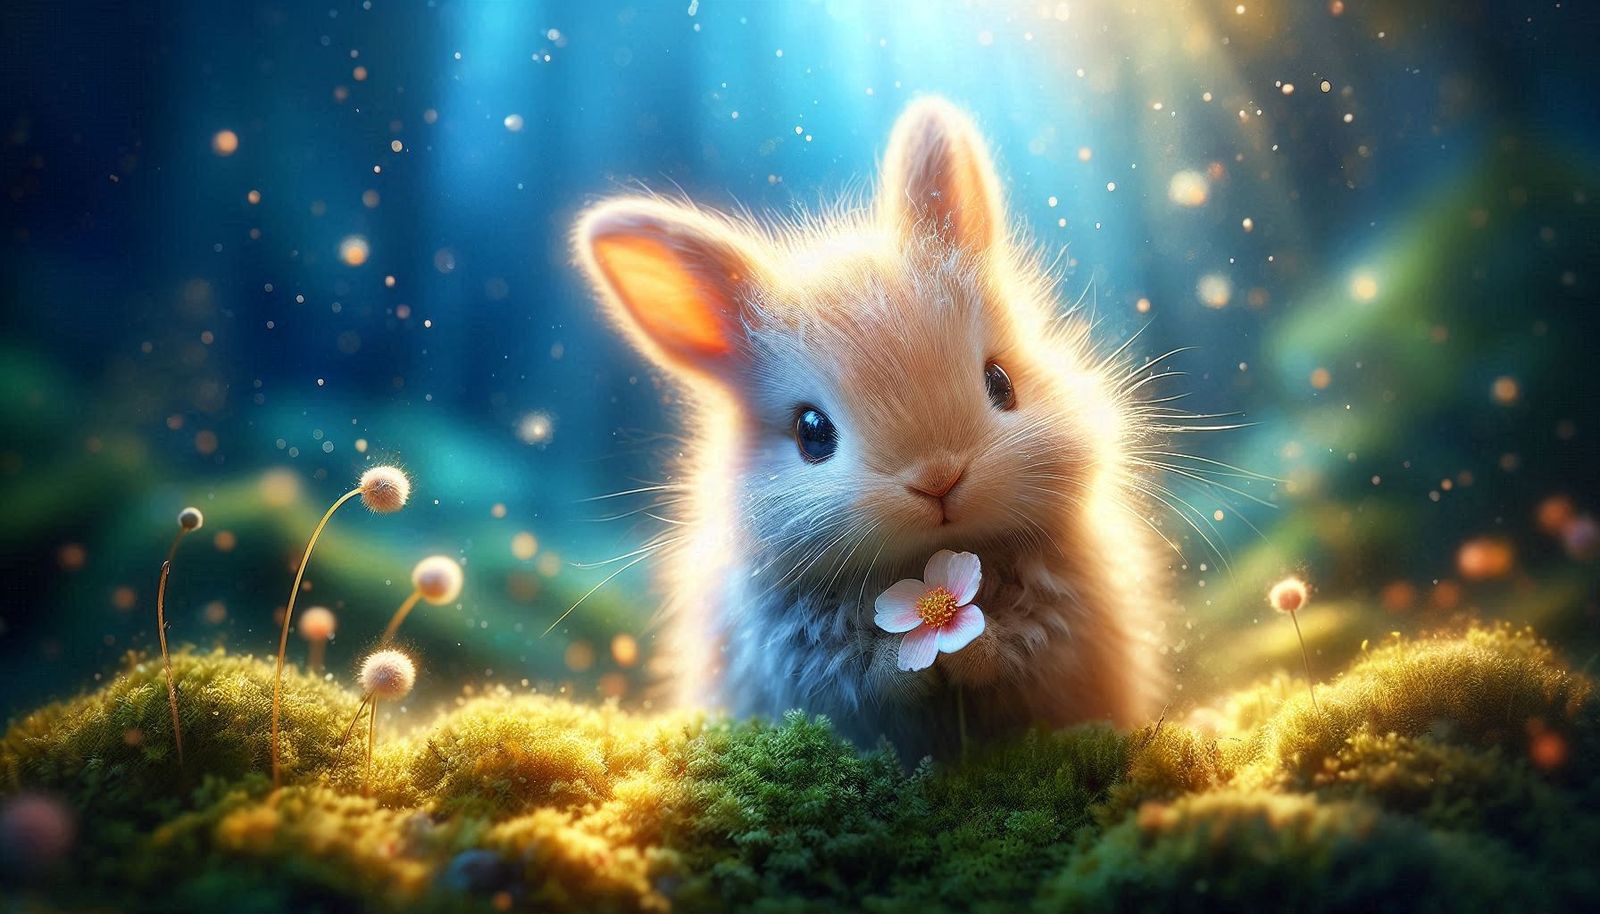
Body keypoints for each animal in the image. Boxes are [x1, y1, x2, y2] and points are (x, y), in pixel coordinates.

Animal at [572, 96, 1171, 761]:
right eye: (811, 432)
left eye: (1001, 382)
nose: (938, 480)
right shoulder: (803, 654)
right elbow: (872, 673)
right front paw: (917, 660)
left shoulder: (1057, 622)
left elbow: (1013, 648)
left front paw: (967, 649)